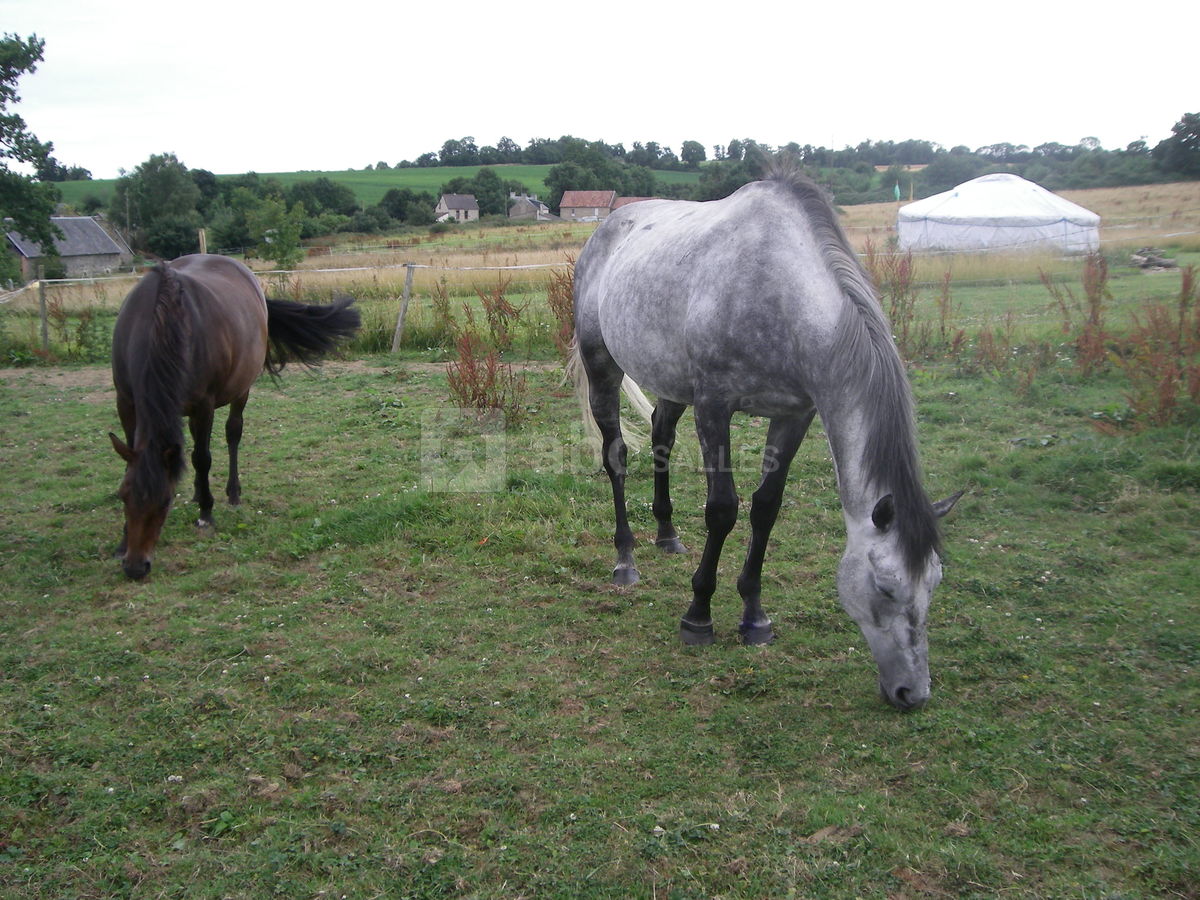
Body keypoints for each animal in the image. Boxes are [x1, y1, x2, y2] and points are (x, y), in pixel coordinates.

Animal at [109, 254, 360, 579]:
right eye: (122, 495)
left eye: (164, 502)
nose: (136, 567)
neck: (160, 320)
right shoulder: (126, 401)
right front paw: (122, 540)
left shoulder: (203, 404)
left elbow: (202, 458)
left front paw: (206, 513)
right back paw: (197, 492)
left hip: (240, 390)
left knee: (232, 434)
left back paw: (232, 493)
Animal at [570, 159, 961, 710]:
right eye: (885, 587)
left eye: (935, 583)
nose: (912, 693)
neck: (778, 290)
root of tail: (605, 230)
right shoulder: (715, 406)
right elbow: (723, 510)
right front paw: (699, 615)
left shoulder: (795, 415)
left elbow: (765, 509)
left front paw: (754, 617)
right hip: (602, 364)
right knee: (617, 456)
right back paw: (625, 560)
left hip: (671, 382)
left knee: (662, 440)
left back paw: (667, 535)